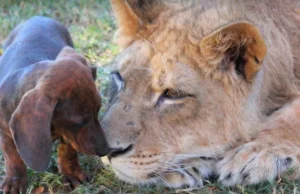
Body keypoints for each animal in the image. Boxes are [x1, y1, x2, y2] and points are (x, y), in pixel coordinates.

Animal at [0, 16, 109, 192]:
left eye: (98, 111)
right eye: (80, 122)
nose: (105, 150)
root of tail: (38, 17)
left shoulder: (69, 134)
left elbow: (68, 151)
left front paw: (71, 172)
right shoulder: (5, 133)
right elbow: (13, 158)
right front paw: (14, 182)